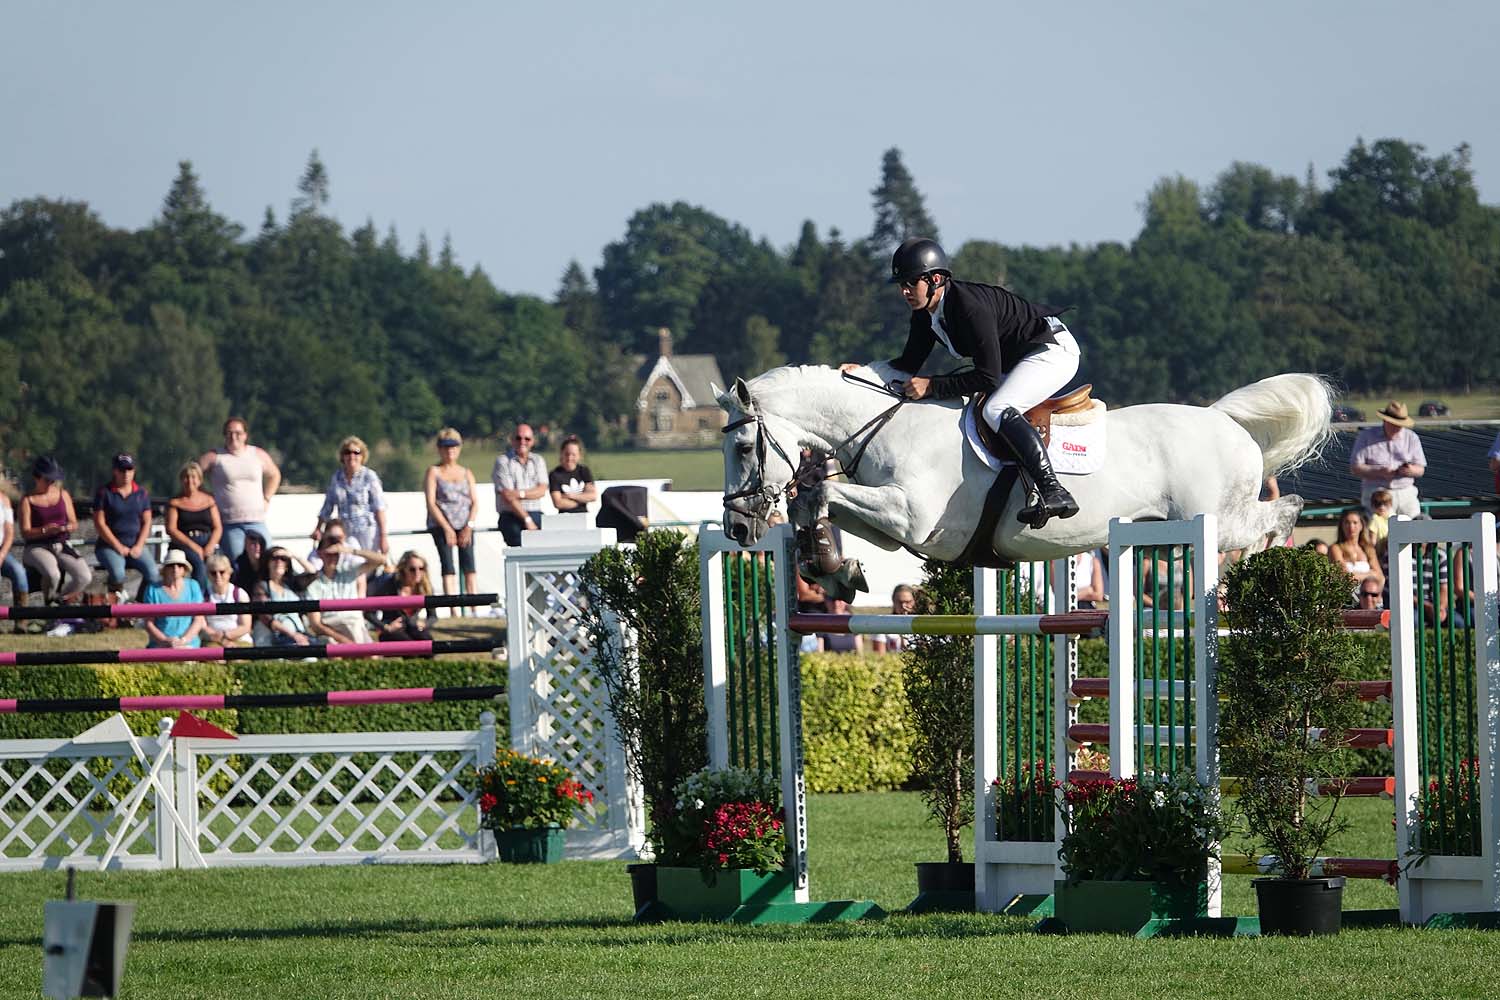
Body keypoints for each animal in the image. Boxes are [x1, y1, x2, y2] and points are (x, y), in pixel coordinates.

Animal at [720, 365, 1332, 569]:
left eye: (745, 448)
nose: (737, 528)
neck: (885, 425)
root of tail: (1224, 420)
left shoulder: (915, 518)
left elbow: (823, 493)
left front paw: (826, 559)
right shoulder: (895, 532)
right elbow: (815, 499)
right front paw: (829, 565)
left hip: (1216, 520)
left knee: (1283, 511)